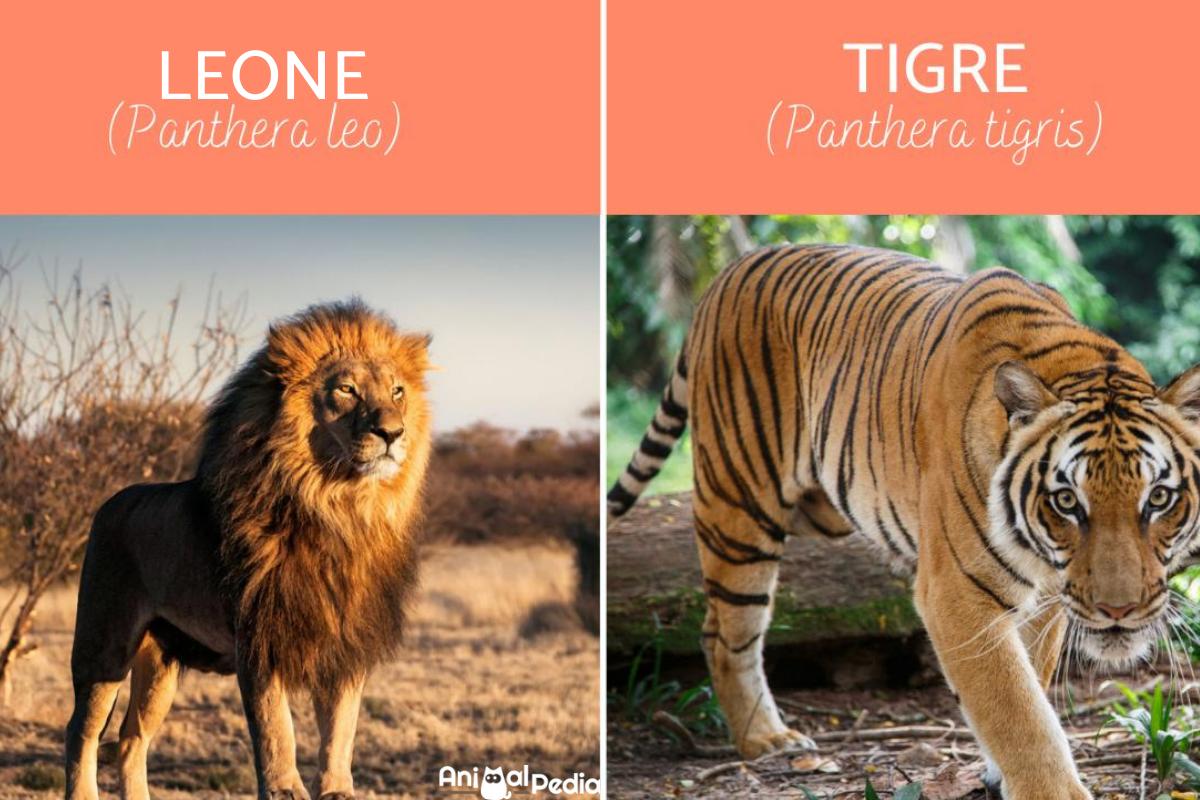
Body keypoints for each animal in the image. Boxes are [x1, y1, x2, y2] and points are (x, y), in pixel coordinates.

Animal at [64, 300, 433, 800]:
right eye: (346, 389)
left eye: (397, 392)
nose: (393, 432)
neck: (338, 509)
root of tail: (110, 501)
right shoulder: (260, 638)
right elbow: (277, 728)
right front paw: (284, 790)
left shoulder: (346, 643)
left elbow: (341, 728)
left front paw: (337, 790)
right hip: (103, 645)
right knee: (81, 733)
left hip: (160, 663)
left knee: (130, 739)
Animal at [608, 243, 1200, 800]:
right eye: (1067, 502)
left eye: (1158, 497)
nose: (1118, 610)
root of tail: (729, 272)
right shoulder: (957, 593)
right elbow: (1017, 709)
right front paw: (1050, 790)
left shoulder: (1049, 599)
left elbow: (1031, 680)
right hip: (739, 507)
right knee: (724, 631)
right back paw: (764, 738)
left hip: (817, 509)